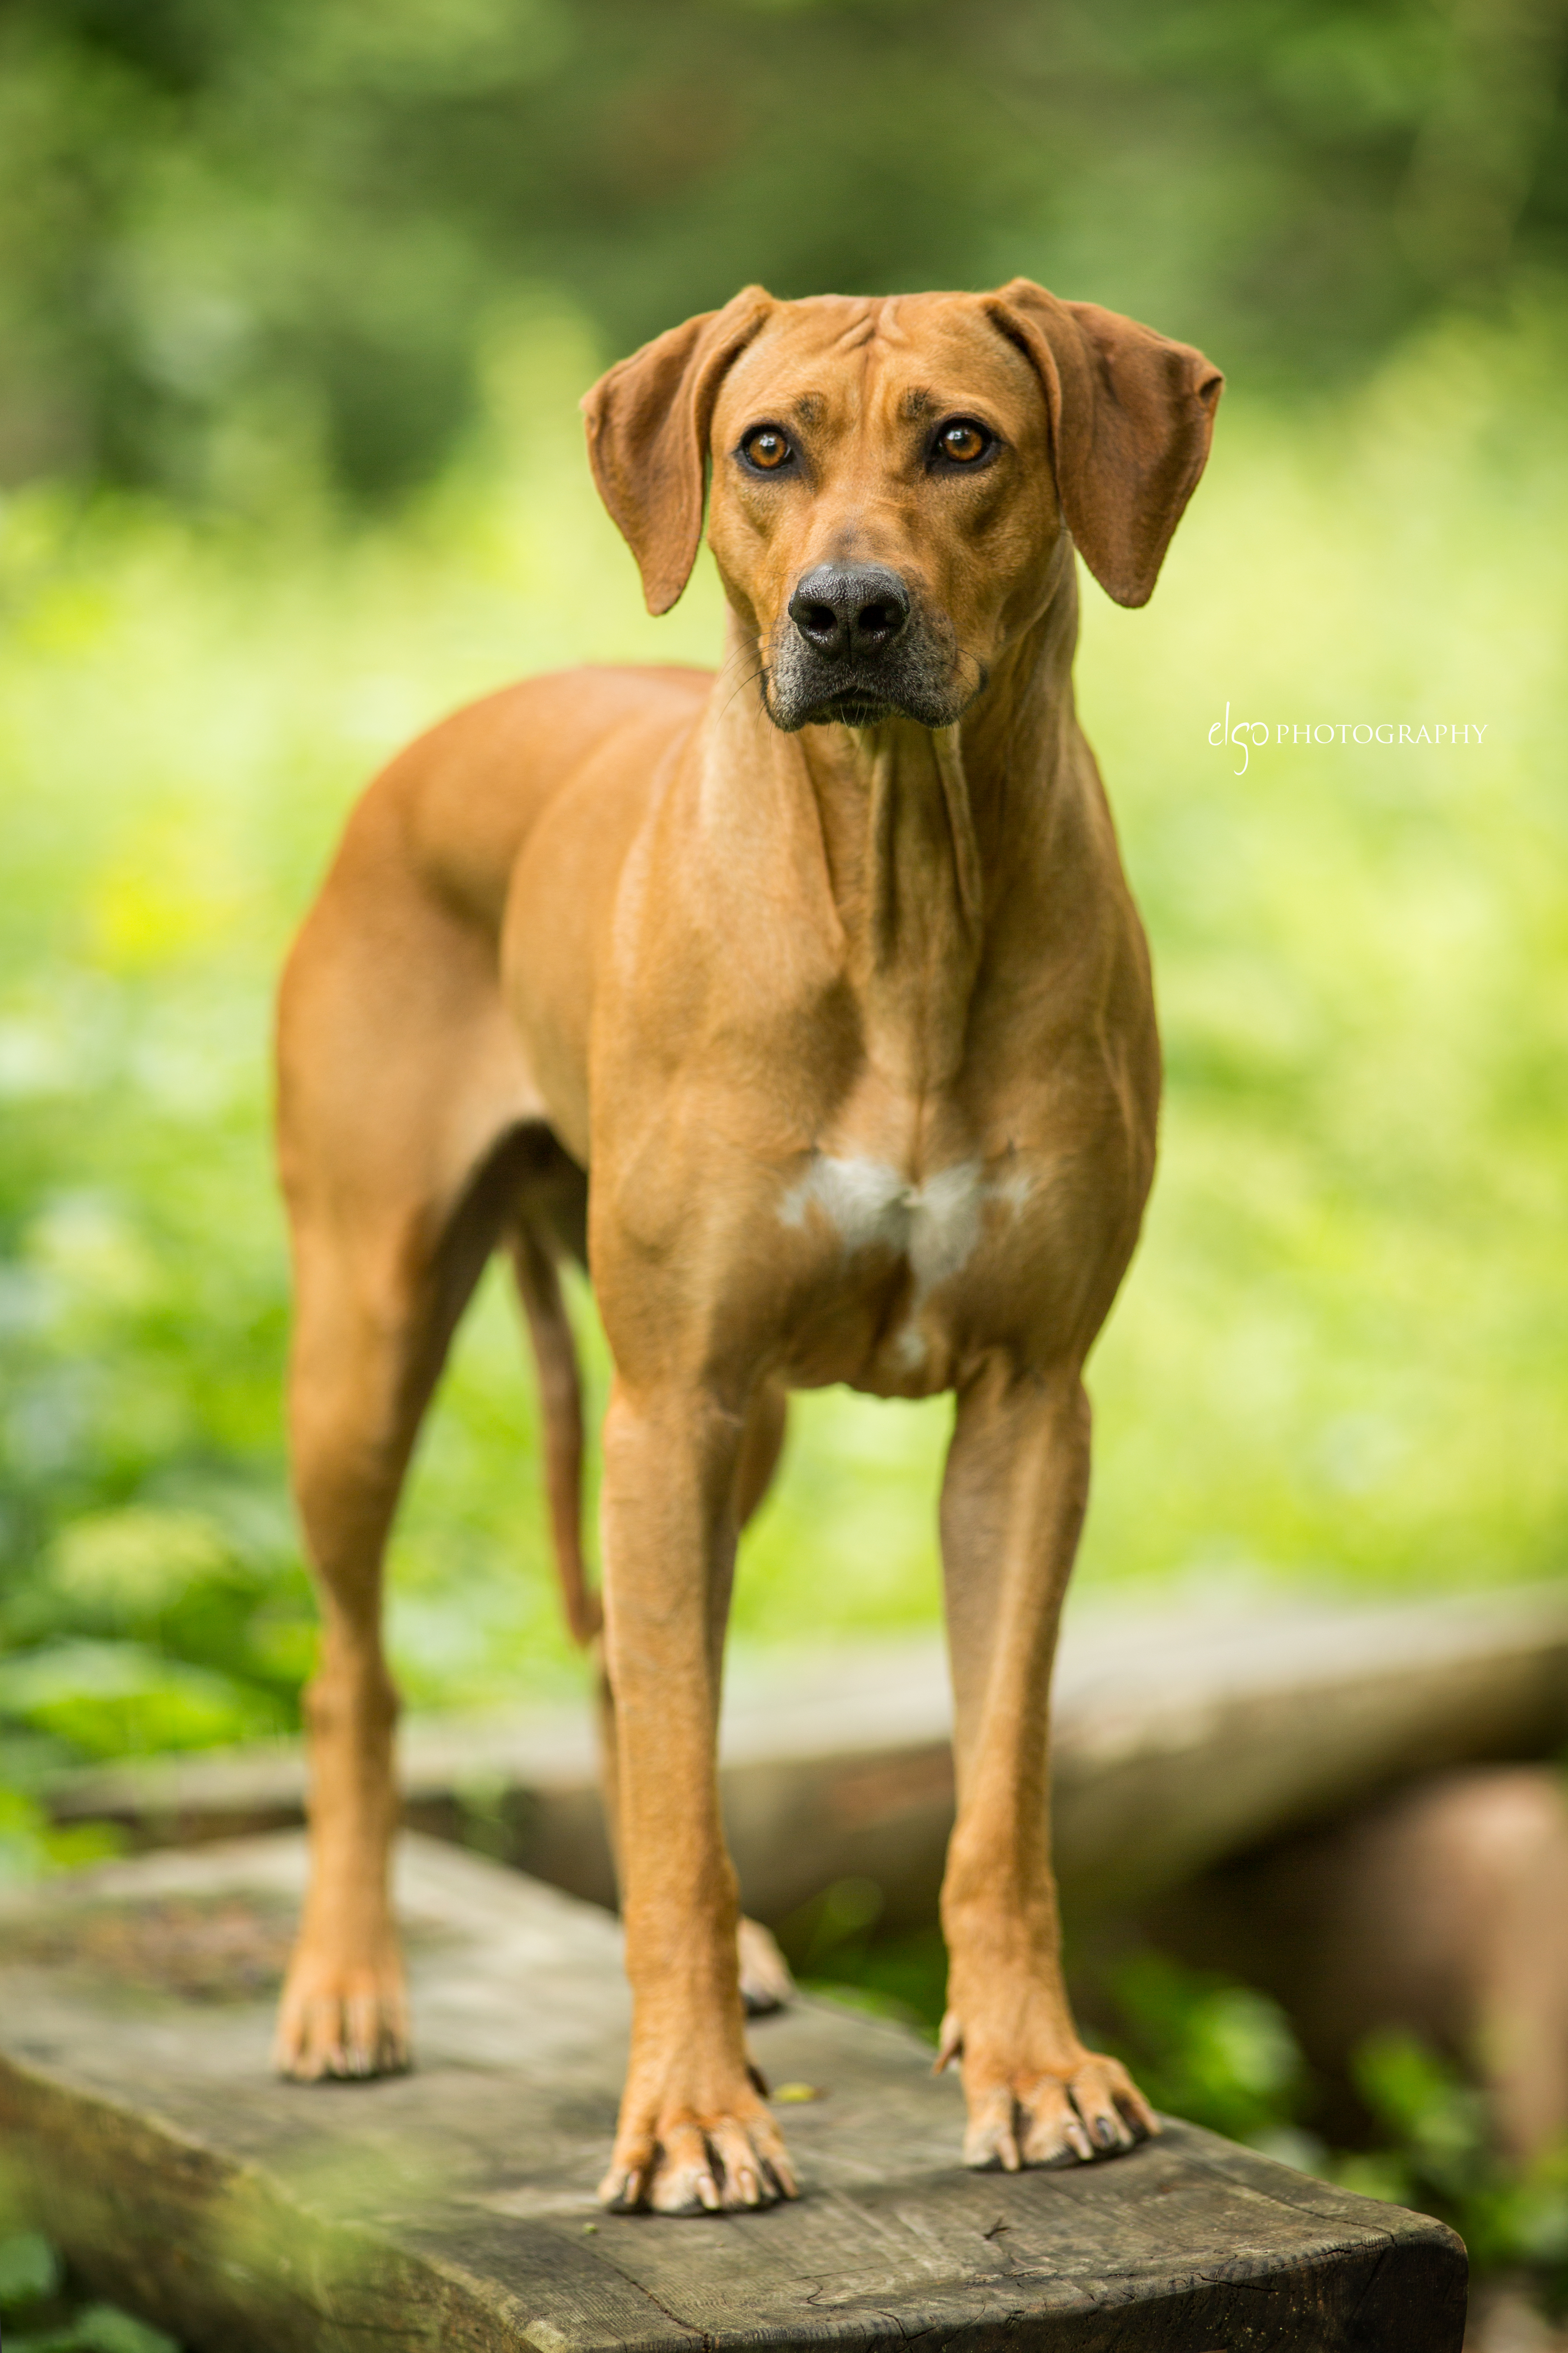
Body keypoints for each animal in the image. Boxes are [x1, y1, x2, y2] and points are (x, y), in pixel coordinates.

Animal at [270, 275, 1222, 2202]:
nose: (845, 611)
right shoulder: (672, 1398)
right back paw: (346, 1983)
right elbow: (677, 1820)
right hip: (372, 1345)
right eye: (766, 448)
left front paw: (1026, 2064)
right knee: (358, 1677)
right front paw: (689, 2110)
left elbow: (996, 1795)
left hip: (739, 1430)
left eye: (963, 440)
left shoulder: (1028, 1408)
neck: (900, 892)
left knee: (629, 1682)